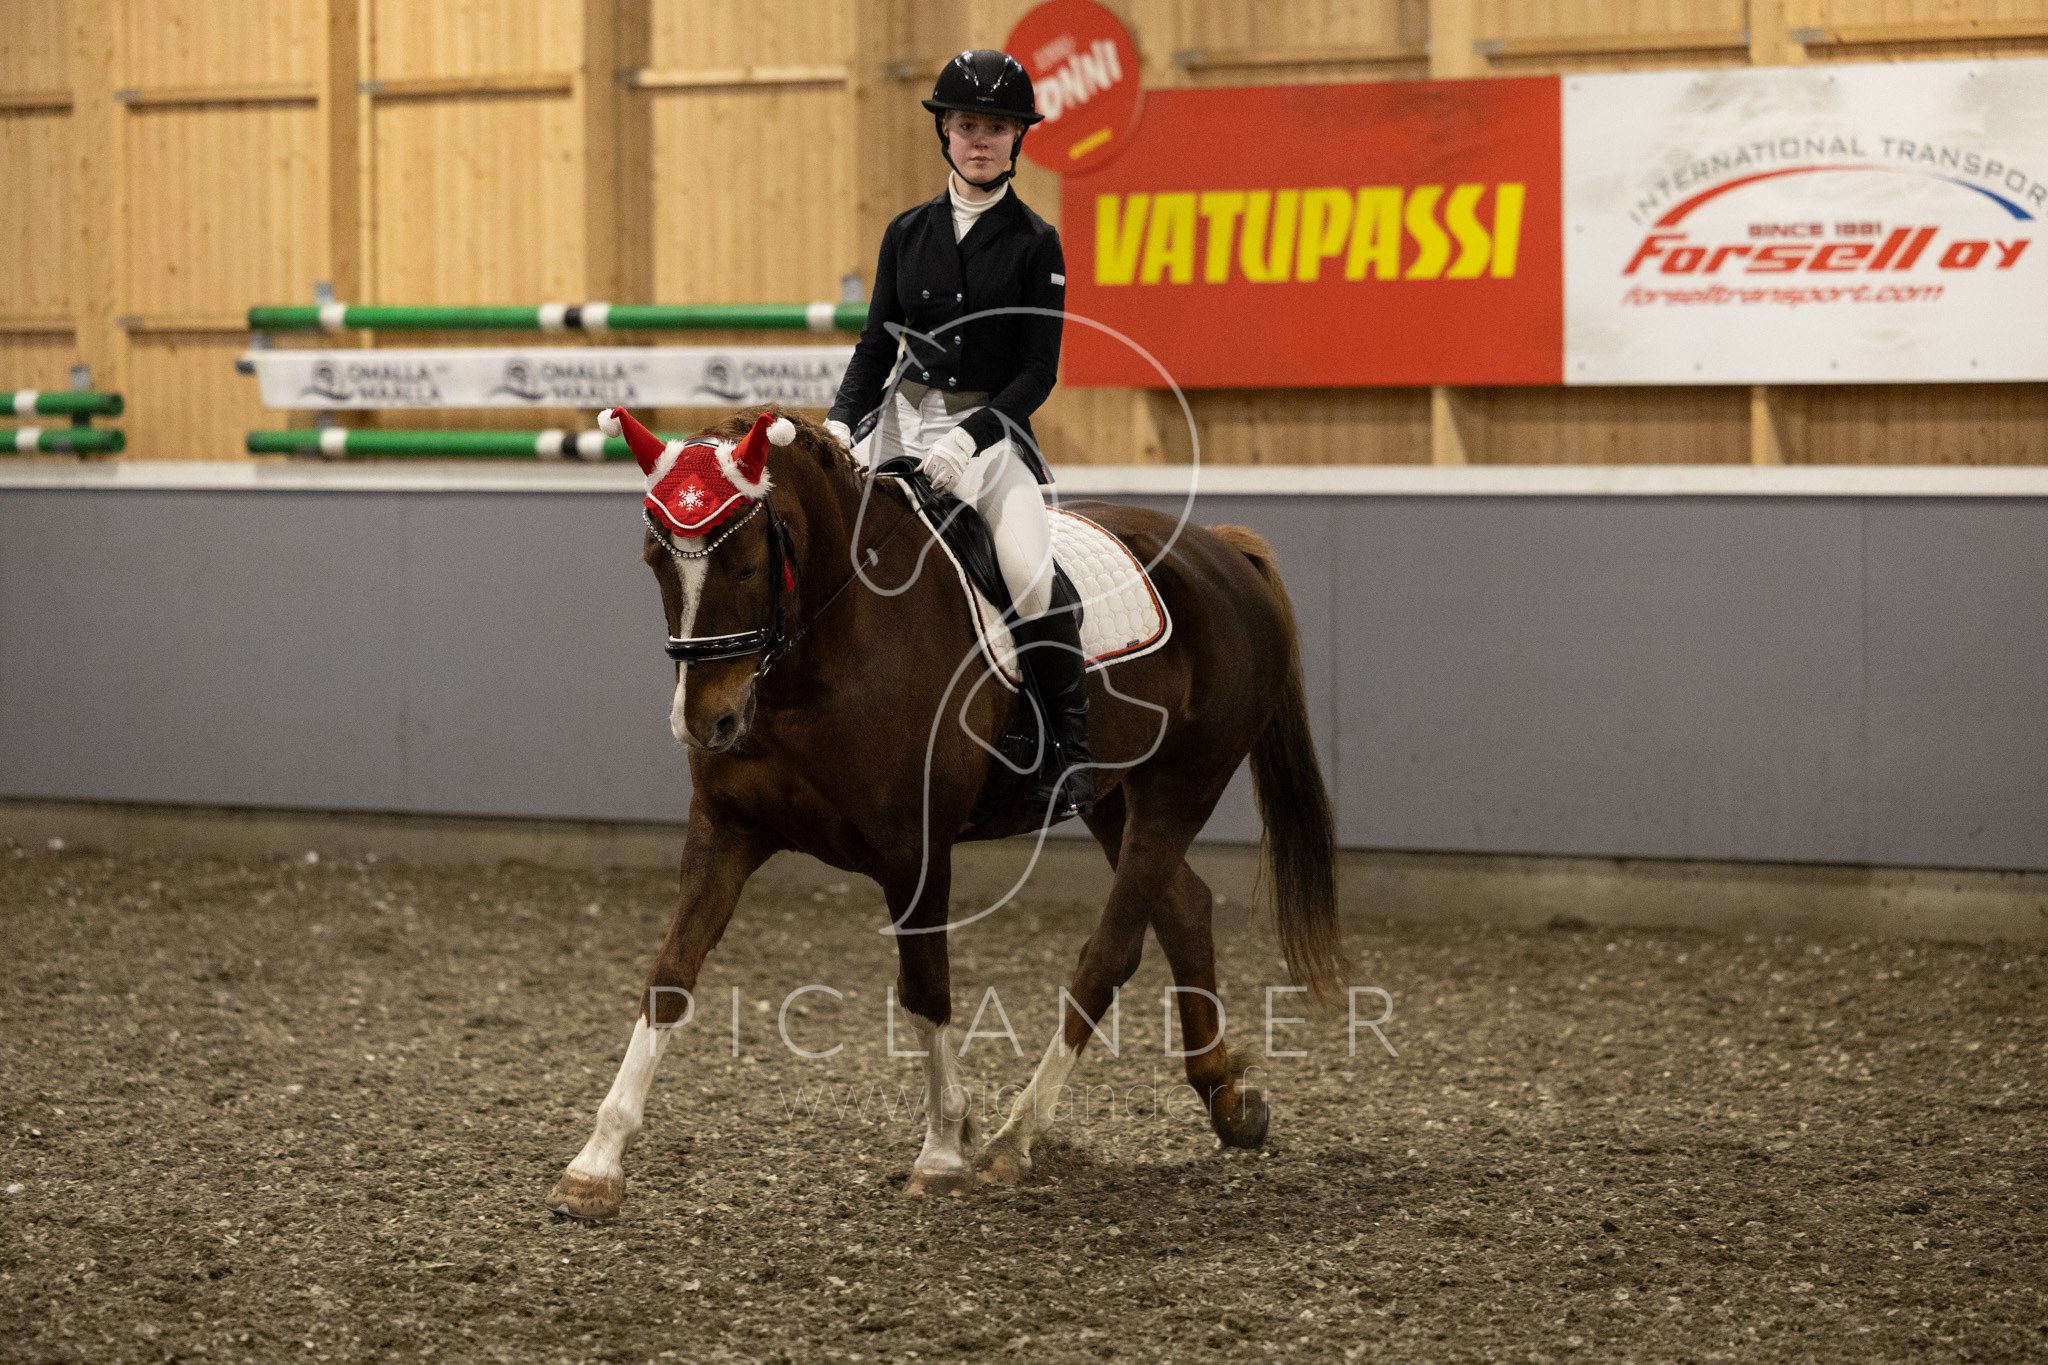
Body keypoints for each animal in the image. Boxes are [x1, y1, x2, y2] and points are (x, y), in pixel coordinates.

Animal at [546, 406, 1348, 1218]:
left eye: (745, 563)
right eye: (655, 561)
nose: (705, 722)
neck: (823, 657)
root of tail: (1219, 549)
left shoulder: (915, 849)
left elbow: (925, 988)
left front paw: (941, 1151)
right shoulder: (725, 831)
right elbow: (670, 975)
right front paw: (597, 1162)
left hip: (1181, 786)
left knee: (1112, 950)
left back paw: (1016, 1139)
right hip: (1113, 794)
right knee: (1184, 907)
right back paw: (1228, 1102)